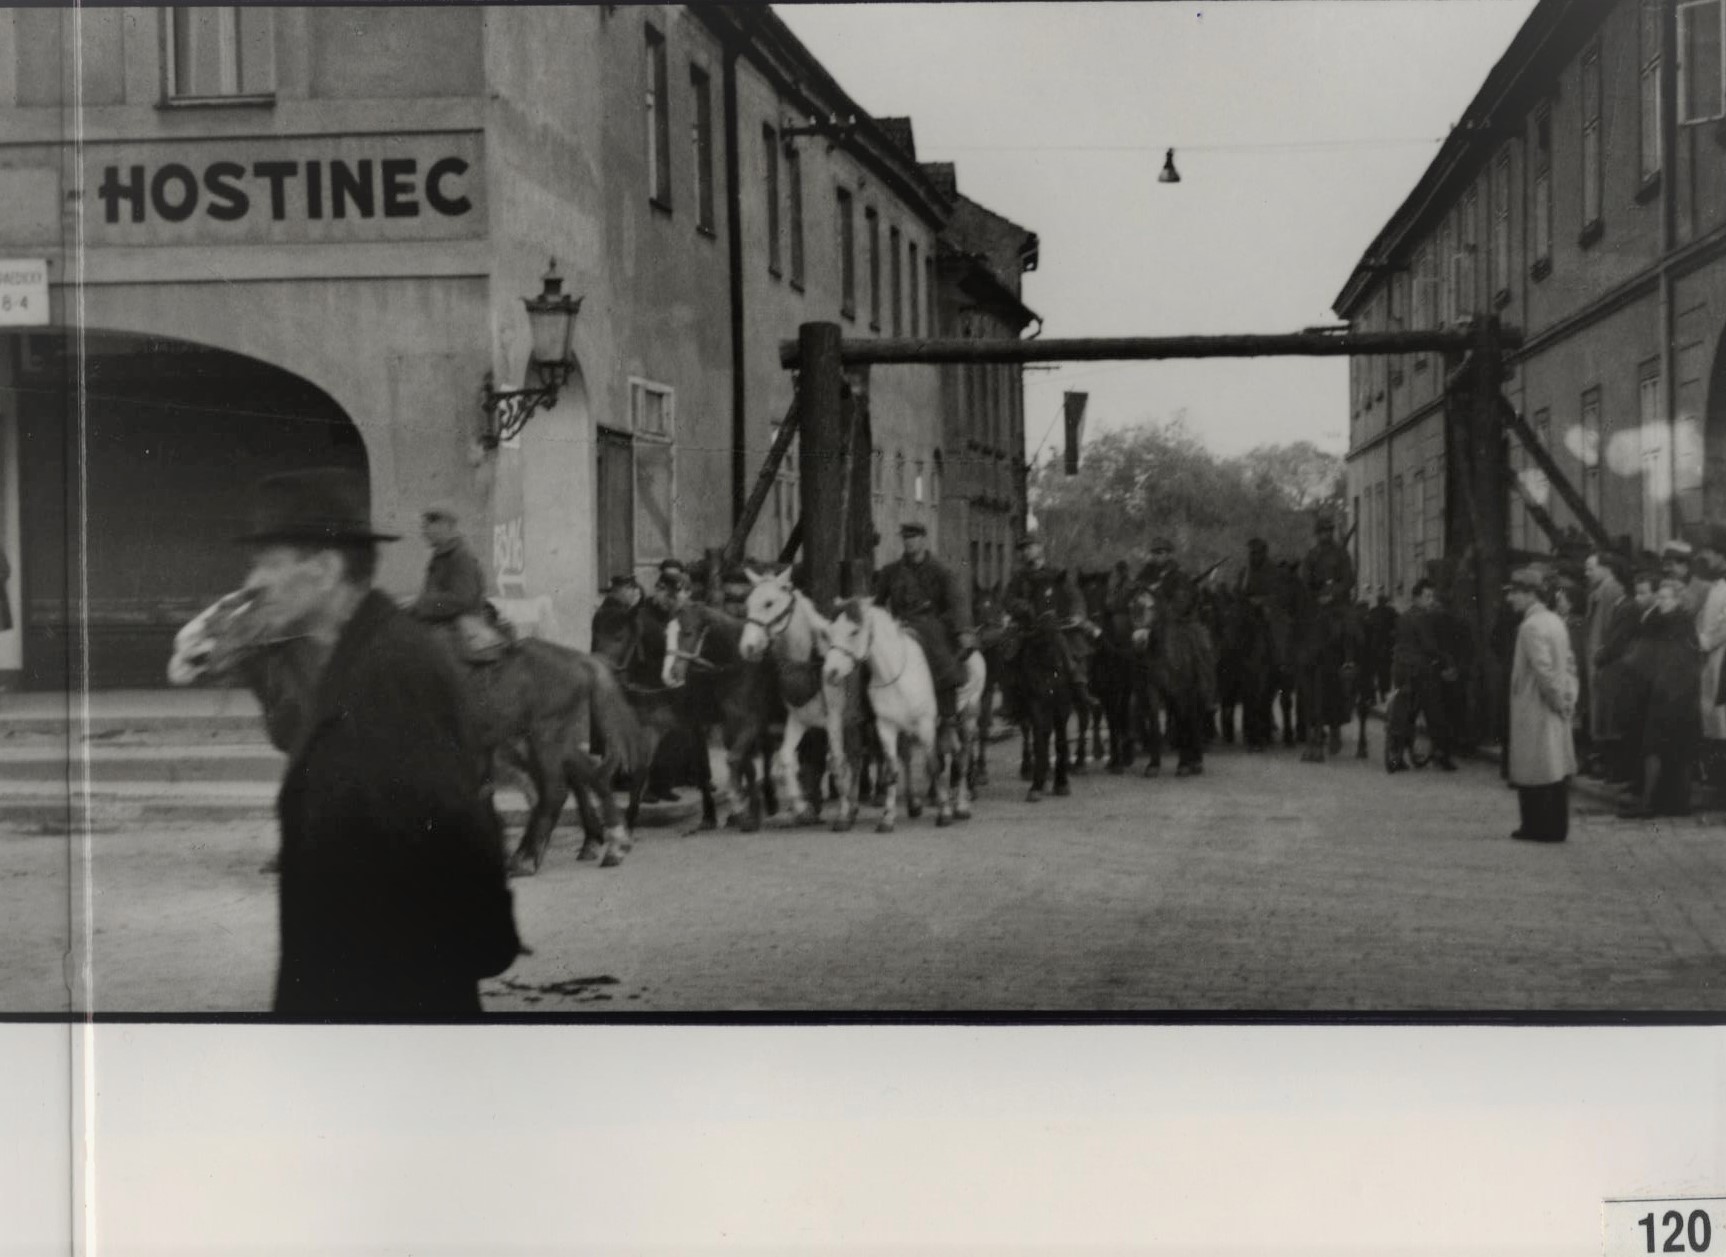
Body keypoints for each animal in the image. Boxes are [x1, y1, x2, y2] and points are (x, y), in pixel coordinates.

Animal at [168, 589, 650, 874]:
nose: (181, 651)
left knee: (555, 790)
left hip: (544, 736)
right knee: (584, 775)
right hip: (541, 739)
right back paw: (609, 842)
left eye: (231, 610)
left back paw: (529, 858)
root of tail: (580, 659)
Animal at [821, 597, 956, 831]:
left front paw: (944, 814)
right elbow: (891, 770)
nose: (830, 673)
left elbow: (934, 765)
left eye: (854, 631)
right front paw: (887, 818)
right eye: (830, 631)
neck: (895, 675)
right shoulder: (885, 726)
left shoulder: (926, 724)